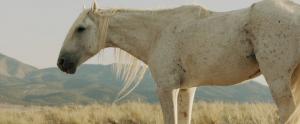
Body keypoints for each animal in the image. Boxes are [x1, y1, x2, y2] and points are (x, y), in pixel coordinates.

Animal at [57, 0, 300, 123]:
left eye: (80, 29)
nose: (61, 63)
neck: (157, 34)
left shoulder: (166, 88)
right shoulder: (187, 88)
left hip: (277, 78)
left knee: (288, 111)